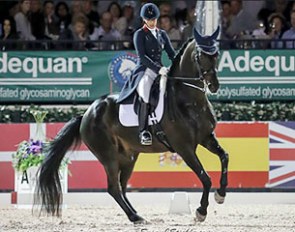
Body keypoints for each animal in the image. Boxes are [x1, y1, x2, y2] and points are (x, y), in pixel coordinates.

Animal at [34, 26, 229, 224]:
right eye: (200, 55)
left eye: (216, 54)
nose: (214, 86)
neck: (191, 101)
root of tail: (86, 114)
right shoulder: (184, 148)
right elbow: (205, 178)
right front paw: (201, 211)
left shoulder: (206, 137)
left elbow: (224, 157)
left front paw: (220, 195)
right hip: (108, 156)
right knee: (113, 187)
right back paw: (134, 216)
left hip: (128, 156)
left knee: (122, 186)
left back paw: (137, 215)